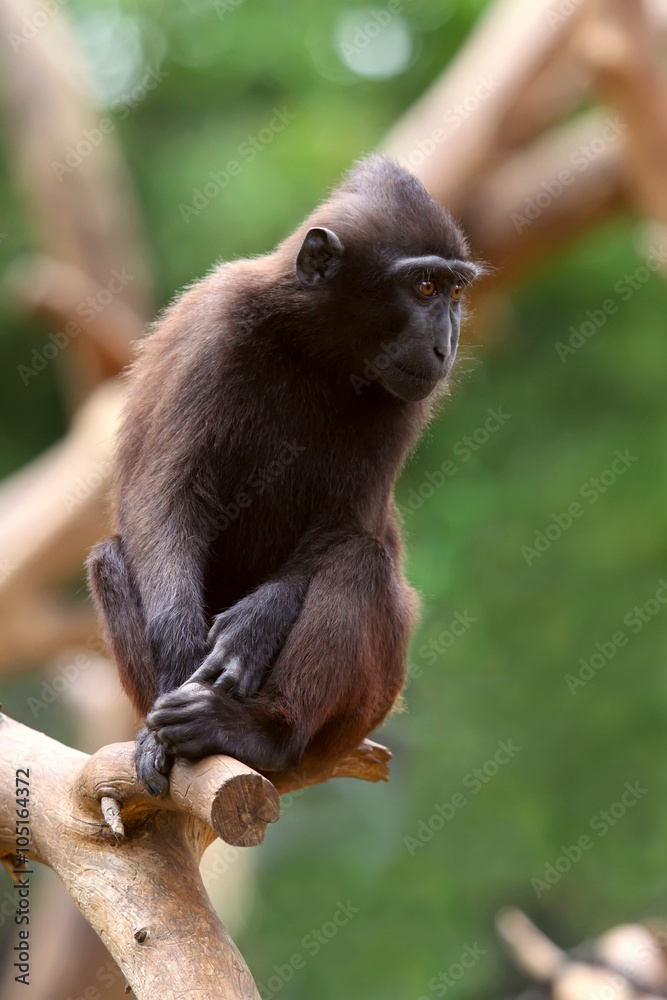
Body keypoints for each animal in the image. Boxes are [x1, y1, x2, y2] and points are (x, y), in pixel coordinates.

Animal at [87, 155, 481, 795]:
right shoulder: (217, 330)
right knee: (111, 558)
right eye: (424, 287)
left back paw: (259, 733)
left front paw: (253, 626)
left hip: (360, 711)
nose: (446, 345)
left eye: (454, 291)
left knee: (359, 560)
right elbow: (165, 499)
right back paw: (165, 733)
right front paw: (179, 654)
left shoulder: (405, 397)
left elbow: (340, 529)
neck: (316, 351)